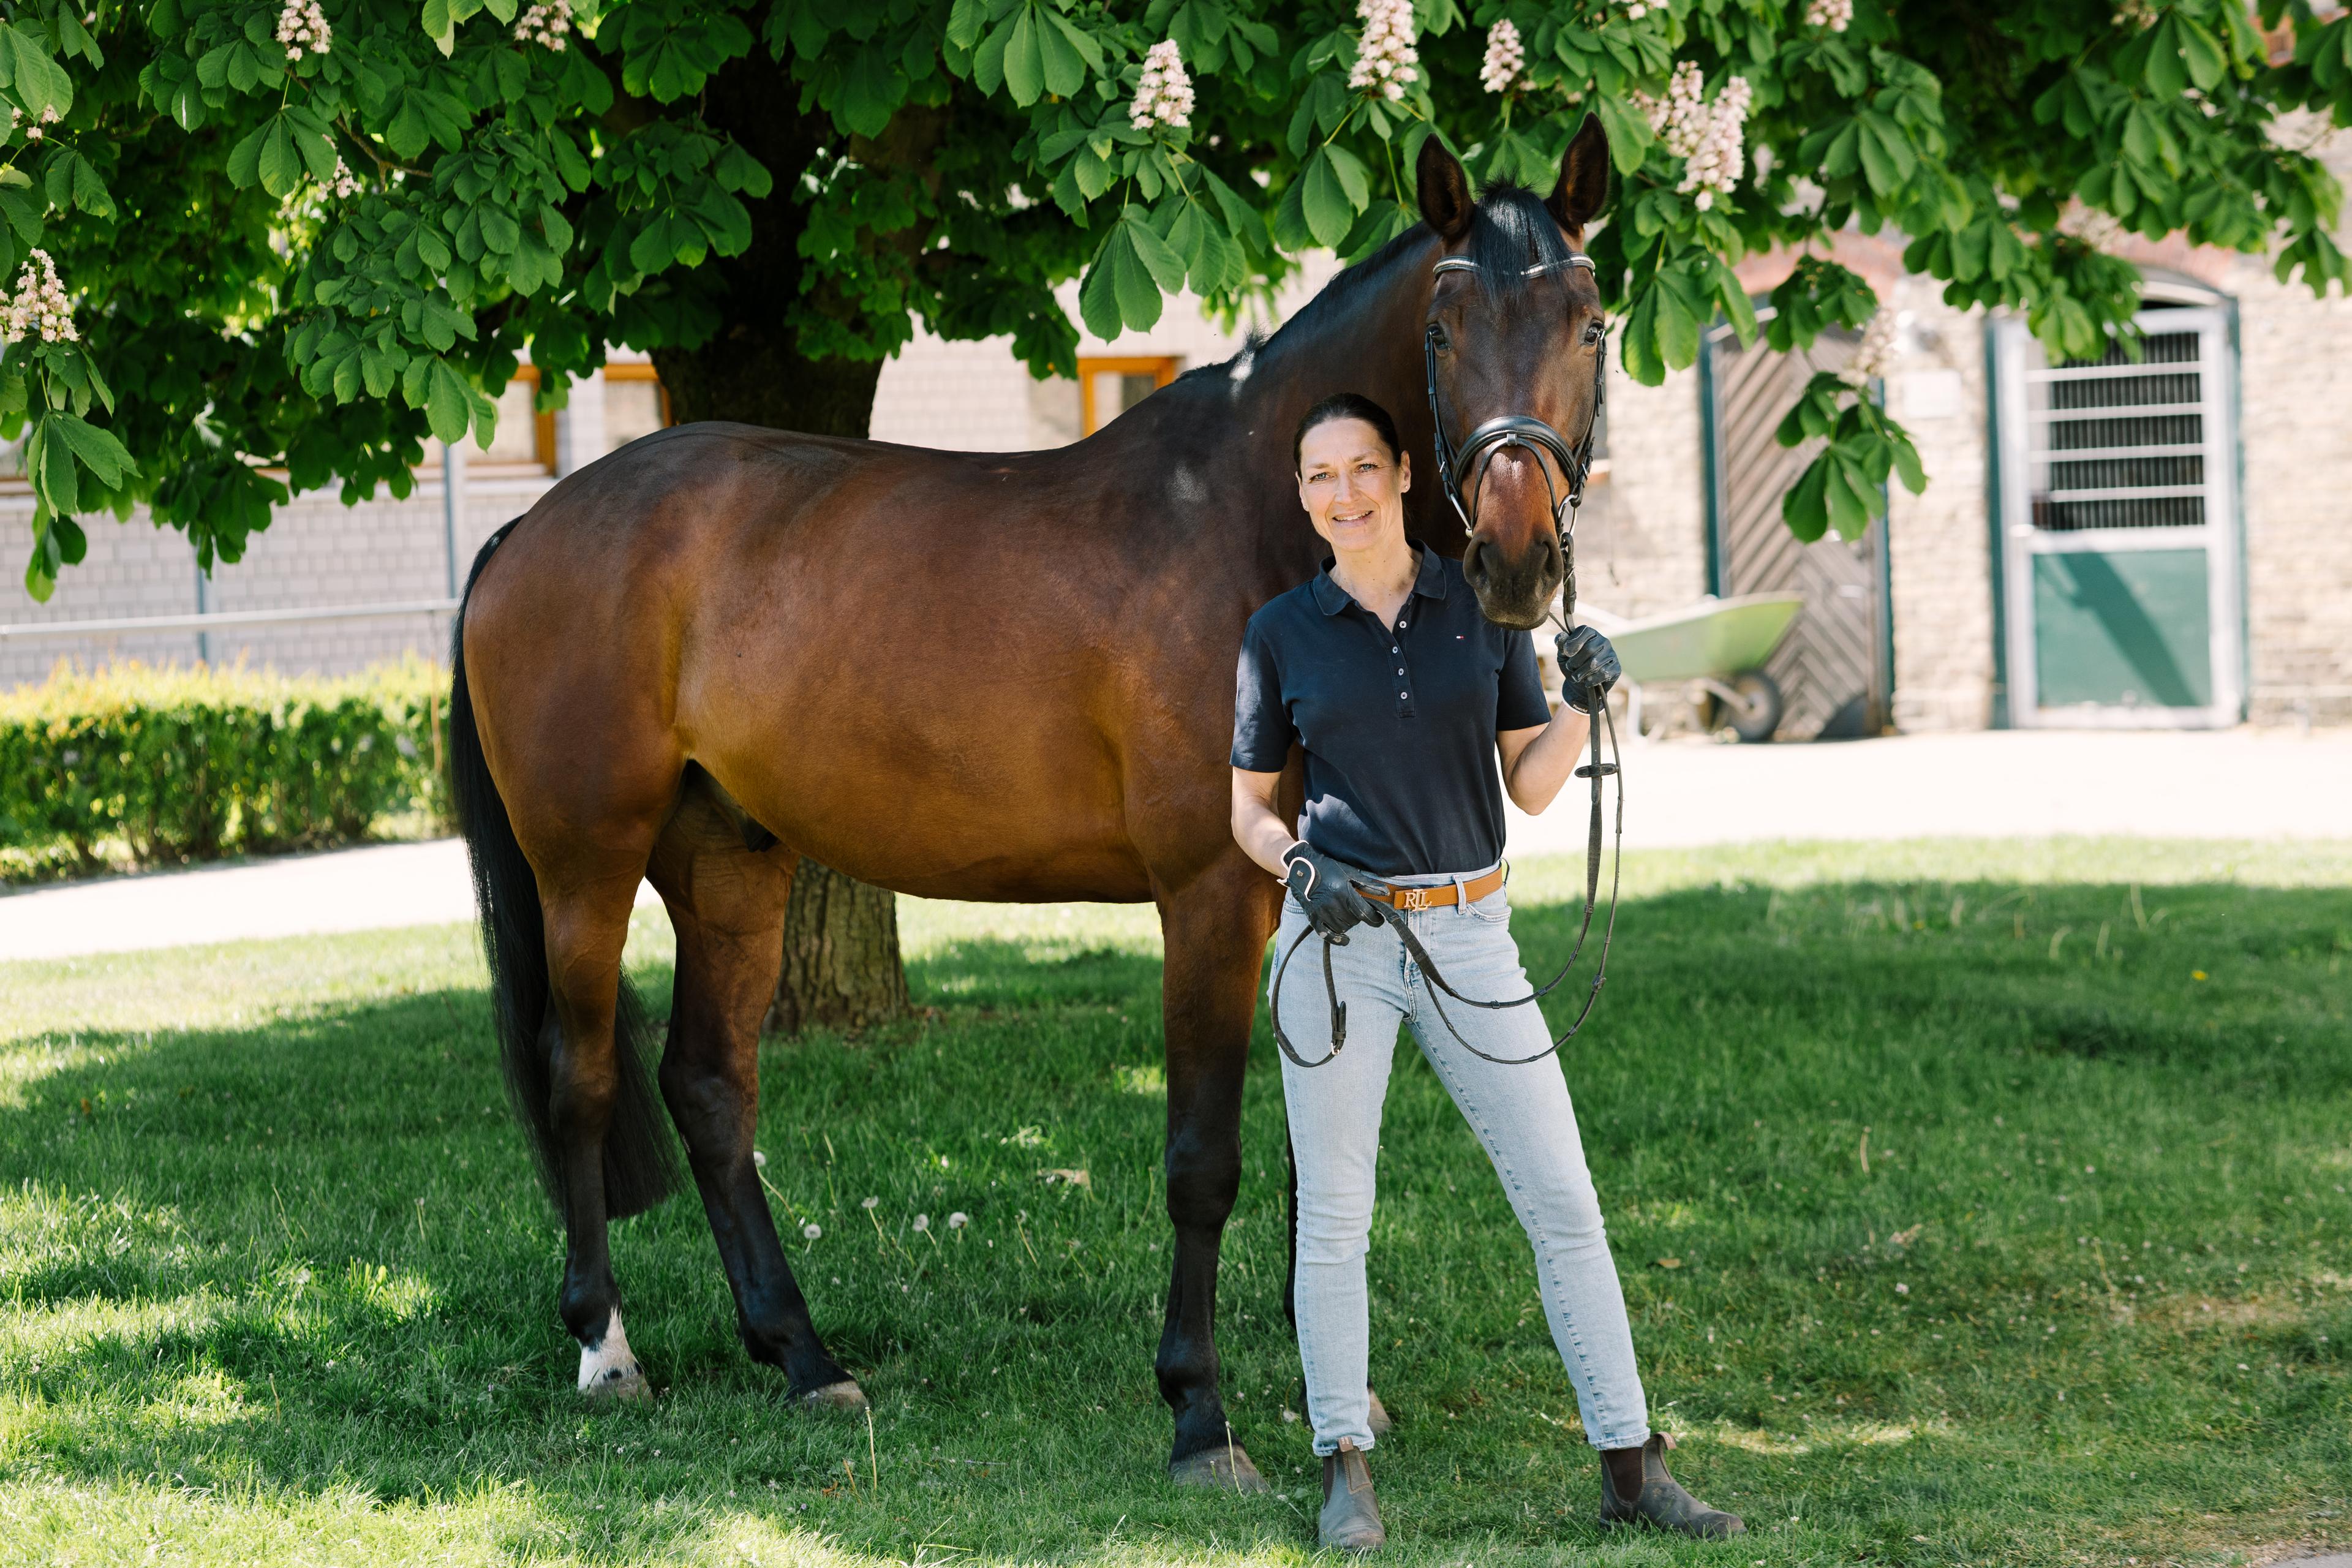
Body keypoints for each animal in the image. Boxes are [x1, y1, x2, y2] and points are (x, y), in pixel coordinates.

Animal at [445, 120, 1613, 1488]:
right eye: (1443, 324)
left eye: (1589, 319)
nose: (1516, 556)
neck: (1252, 522)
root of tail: (530, 527)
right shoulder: (1210, 898)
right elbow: (1203, 1160)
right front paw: (1199, 1412)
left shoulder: (1315, 900)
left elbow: (1310, 1148)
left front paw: (1336, 1395)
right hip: (585, 863)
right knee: (577, 1074)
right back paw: (606, 1350)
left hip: (731, 861)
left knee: (710, 1087)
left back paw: (803, 1356)